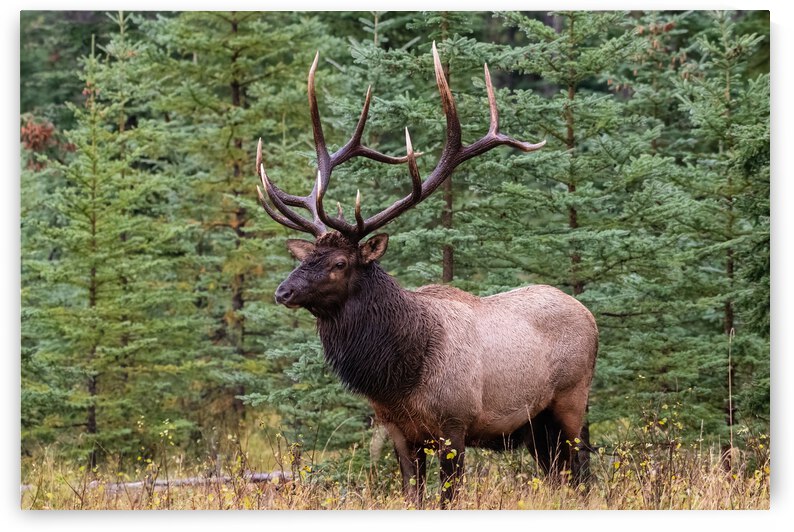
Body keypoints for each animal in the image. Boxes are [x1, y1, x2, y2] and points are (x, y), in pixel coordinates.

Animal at [255, 43, 599, 508]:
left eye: (339, 264)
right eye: (307, 256)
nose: (284, 291)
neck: (399, 376)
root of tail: (589, 315)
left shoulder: (456, 424)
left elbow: (448, 497)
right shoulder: (398, 431)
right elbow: (411, 495)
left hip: (571, 401)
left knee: (581, 471)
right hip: (536, 426)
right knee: (558, 474)